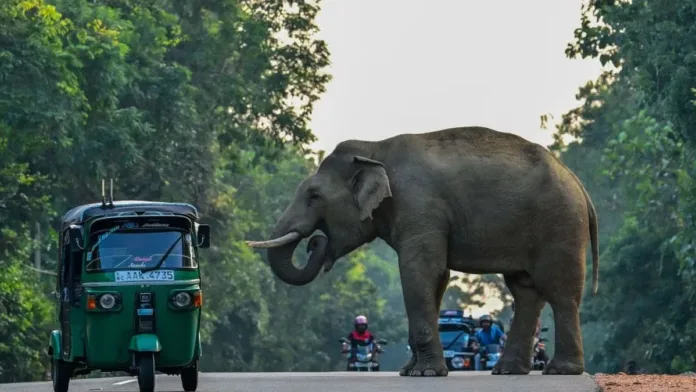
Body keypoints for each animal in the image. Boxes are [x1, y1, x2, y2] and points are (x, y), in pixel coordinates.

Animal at [246, 125, 600, 376]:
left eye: (314, 196)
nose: (313, 243)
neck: (374, 149)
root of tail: (579, 185)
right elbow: (436, 278)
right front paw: (409, 371)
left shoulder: (419, 205)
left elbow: (419, 271)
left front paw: (425, 373)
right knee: (525, 291)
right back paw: (507, 371)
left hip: (560, 224)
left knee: (559, 290)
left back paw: (561, 371)